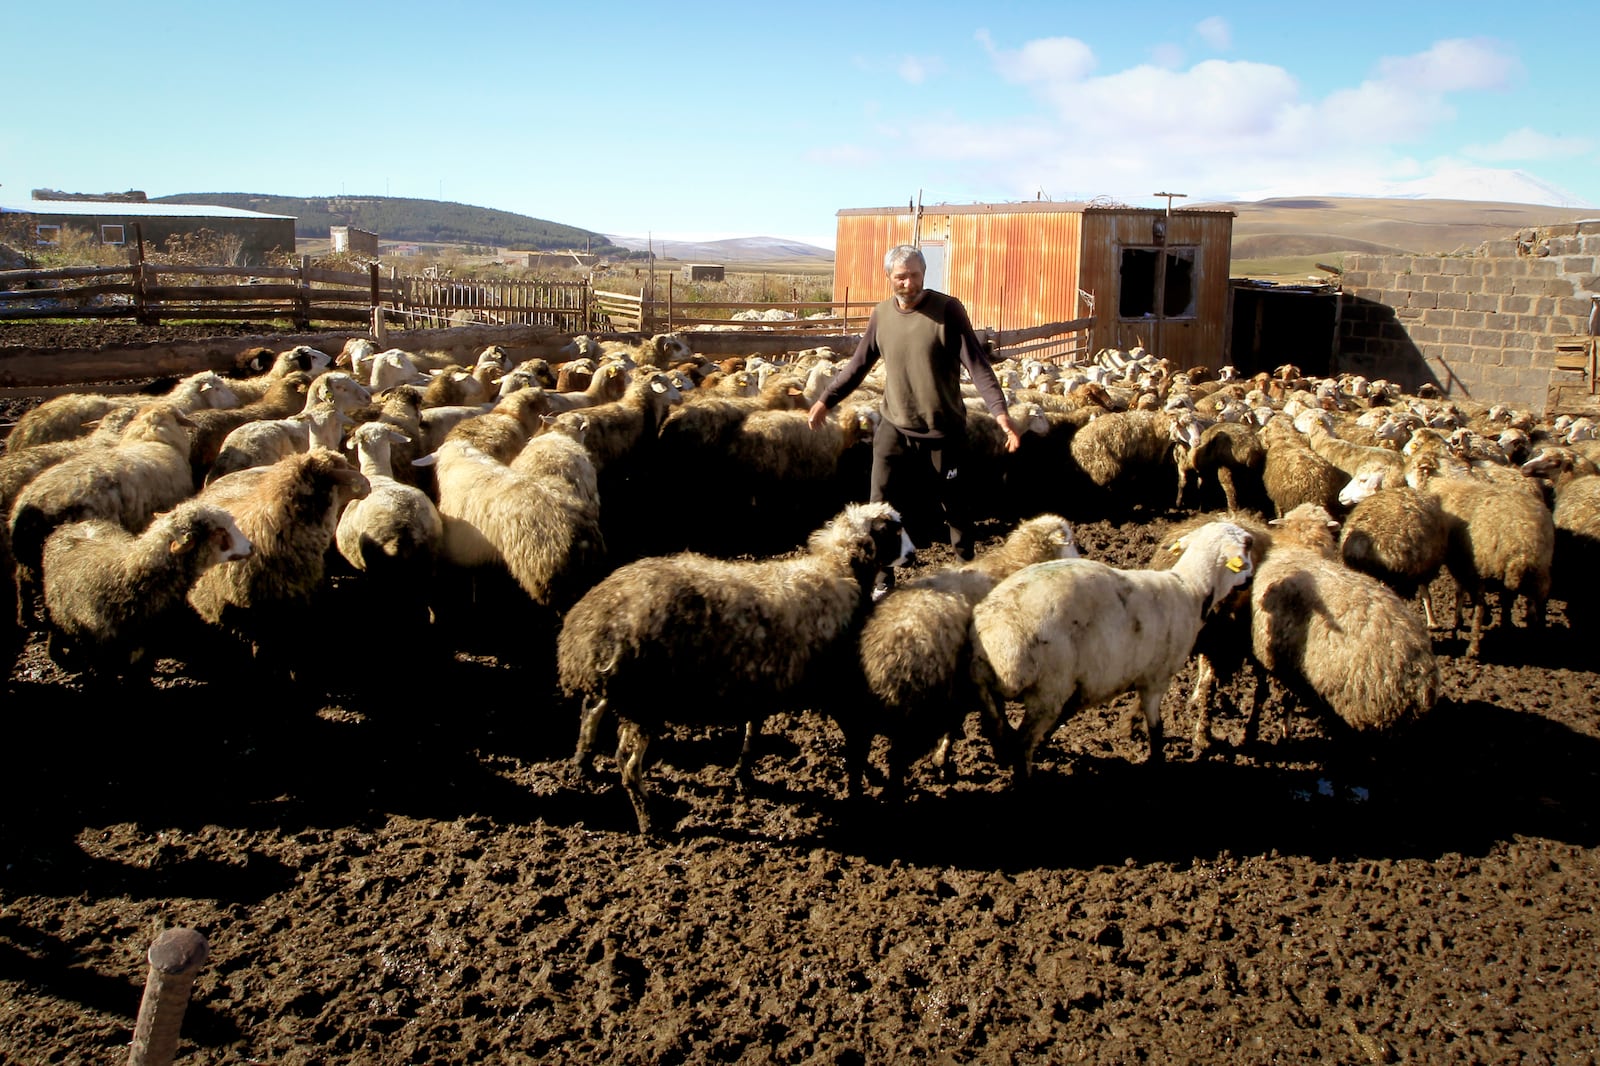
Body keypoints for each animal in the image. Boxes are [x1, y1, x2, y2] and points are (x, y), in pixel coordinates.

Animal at [966, 521, 1254, 777]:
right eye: (1246, 551)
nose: (1250, 579)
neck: (1190, 588)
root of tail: (996, 631)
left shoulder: (1087, 683)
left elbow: (1065, 716)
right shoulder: (1156, 678)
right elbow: (1156, 728)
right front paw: (1157, 761)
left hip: (985, 684)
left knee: (998, 728)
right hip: (1048, 688)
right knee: (1022, 744)